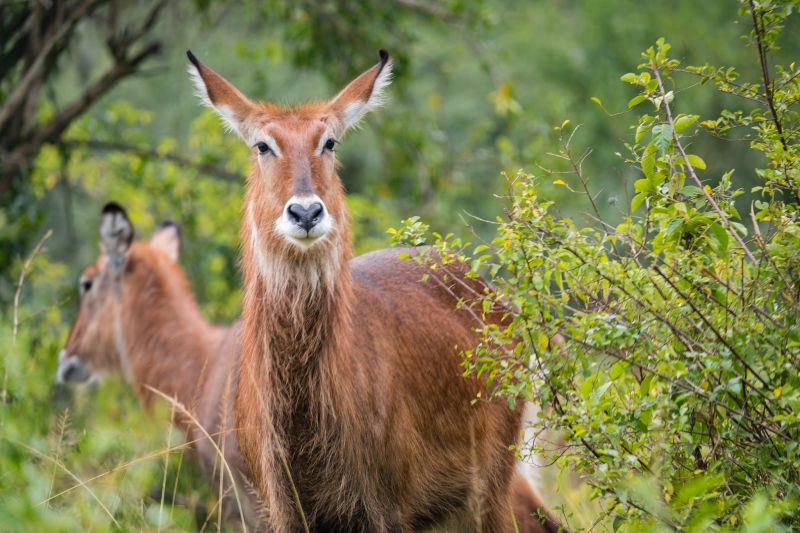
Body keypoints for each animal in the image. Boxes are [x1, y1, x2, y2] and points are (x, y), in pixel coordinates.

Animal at [188, 51, 564, 532]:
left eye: (329, 142)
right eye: (262, 145)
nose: (306, 212)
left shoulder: (388, 506)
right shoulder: (281, 509)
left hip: (491, 485)